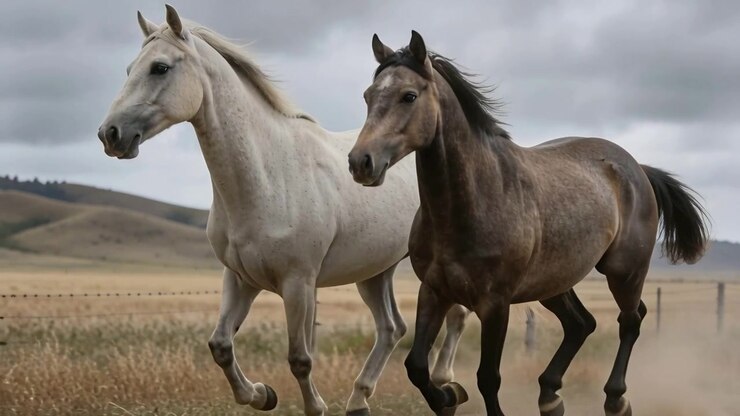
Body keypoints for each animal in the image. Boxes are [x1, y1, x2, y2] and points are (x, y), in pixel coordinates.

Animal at [97, 7, 471, 416]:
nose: (110, 134)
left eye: (160, 68)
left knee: (454, 315)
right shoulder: (240, 279)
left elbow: (300, 358)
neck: (267, 176)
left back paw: (446, 383)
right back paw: (360, 399)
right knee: (392, 328)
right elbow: (221, 346)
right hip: (375, 271)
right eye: (130, 68)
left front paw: (314, 406)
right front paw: (262, 394)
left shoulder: (298, 283)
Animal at [348, 31, 709, 416]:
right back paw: (550, 397)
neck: (472, 202)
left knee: (630, 321)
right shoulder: (433, 290)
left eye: (409, 96)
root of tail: (637, 168)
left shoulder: (496, 303)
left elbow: (488, 378)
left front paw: (456, 394)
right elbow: (416, 366)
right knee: (581, 323)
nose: (360, 162)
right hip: (554, 282)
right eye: (368, 96)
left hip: (624, 271)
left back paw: (615, 399)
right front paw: (449, 396)